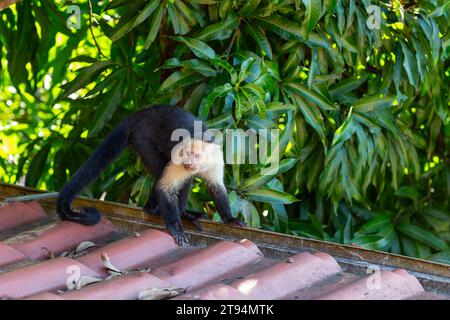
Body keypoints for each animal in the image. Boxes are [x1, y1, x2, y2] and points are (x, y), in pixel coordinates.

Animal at [58, 105, 246, 245]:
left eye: (195, 155)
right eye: (186, 154)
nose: (188, 162)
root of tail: (141, 114)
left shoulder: (216, 158)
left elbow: (216, 188)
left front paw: (230, 219)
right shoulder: (177, 157)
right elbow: (165, 188)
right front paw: (175, 228)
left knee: (186, 180)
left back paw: (183, 213)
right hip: (141, 138)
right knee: (162, 171)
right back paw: (154, 210)